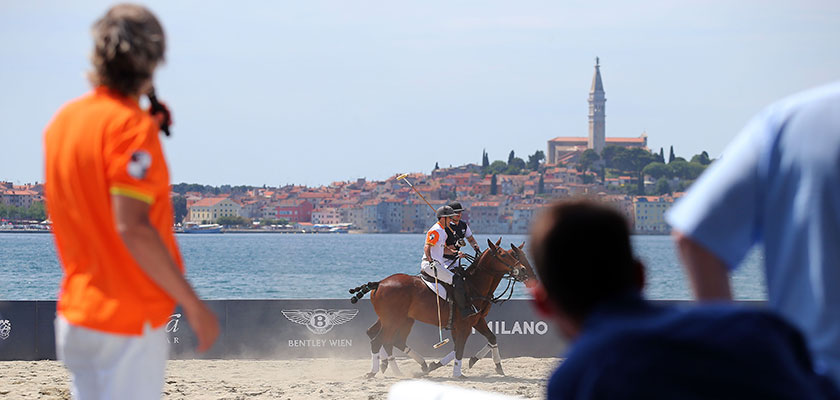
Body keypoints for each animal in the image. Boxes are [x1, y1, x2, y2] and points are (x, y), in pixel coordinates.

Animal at [348, 239, 532, 376]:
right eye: (504, 254)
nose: (524, 270)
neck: (473, 285)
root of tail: (378, 283)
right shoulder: (464, 324)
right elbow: (460, 348)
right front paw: (457, 373)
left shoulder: (477, 320)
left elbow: (491, 338)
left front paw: (498, 366)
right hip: (394, 320)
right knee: (379, 340)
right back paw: (375, 371)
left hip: (400, 320)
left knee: (390, 339)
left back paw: (410, 366)